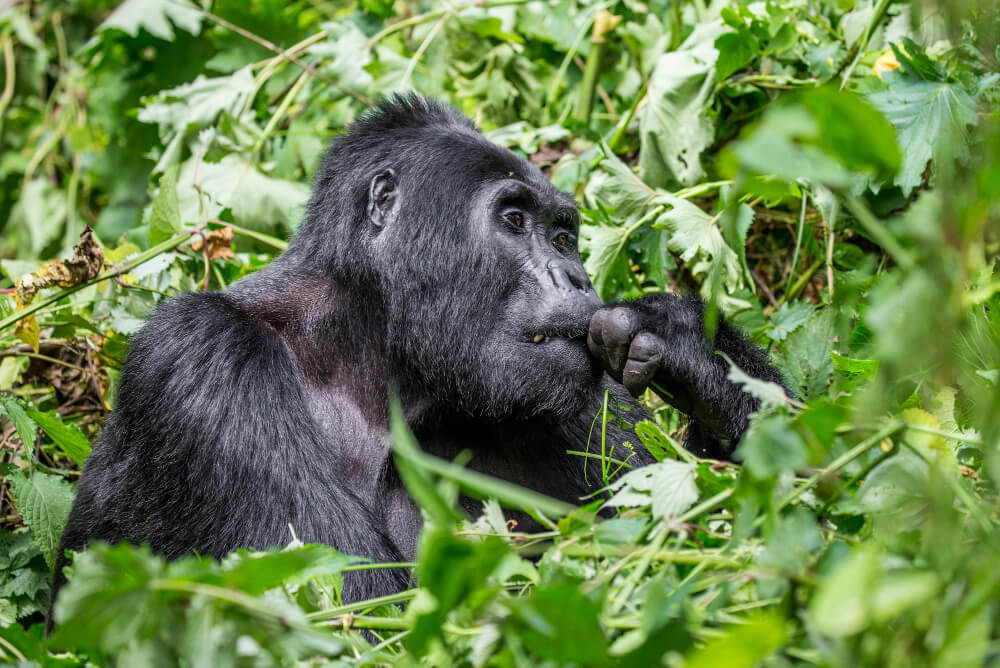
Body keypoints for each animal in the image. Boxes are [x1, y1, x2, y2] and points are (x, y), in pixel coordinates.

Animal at [52, 94, 788, 612]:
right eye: (514, 221)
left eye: (562, 237)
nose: (575, 280)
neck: (365, 348)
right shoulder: (204, 362)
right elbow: (362, 613)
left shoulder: (570, 393)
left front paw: (689, 343)